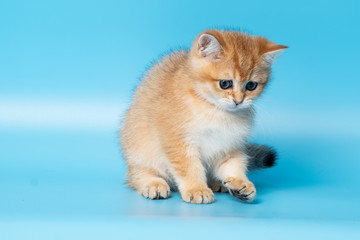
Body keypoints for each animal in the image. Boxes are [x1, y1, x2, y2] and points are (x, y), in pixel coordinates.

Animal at [121, 29, 286, 203]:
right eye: (225, 83)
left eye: (251, 85)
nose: (238, 101)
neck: (215, 110)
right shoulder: (177, 140)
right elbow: (188, 167)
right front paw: (197, 188)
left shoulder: (230, 143)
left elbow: (234, 163)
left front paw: (240, 182)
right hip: (139, 149)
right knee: (137, 174)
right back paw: (153, 183)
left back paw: (217, 182)